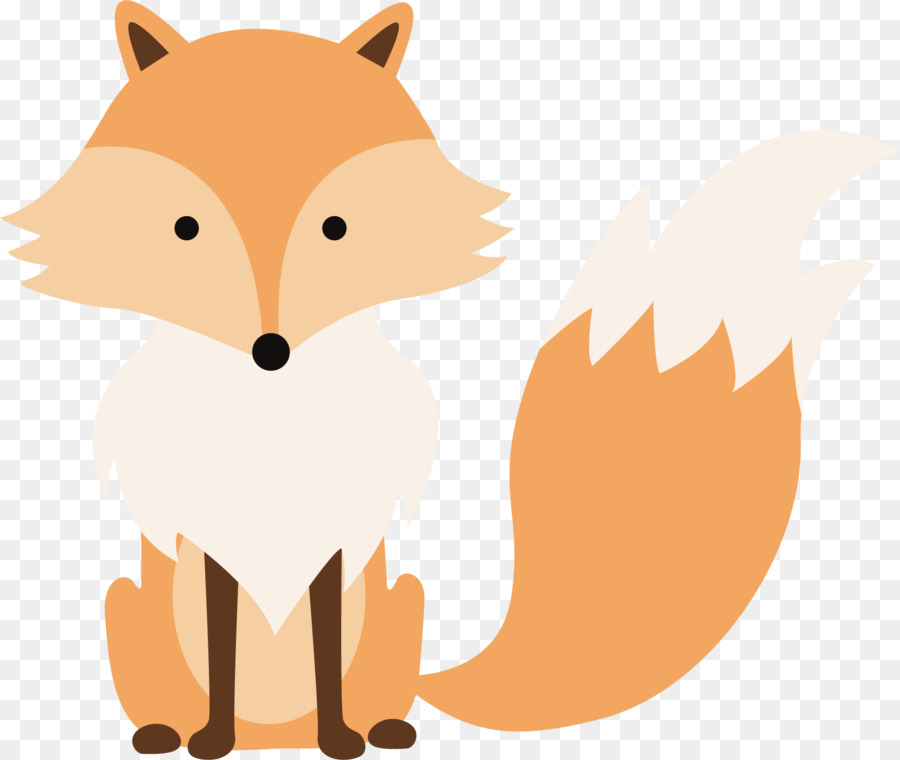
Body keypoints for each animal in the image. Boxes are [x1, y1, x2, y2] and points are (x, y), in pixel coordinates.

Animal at [3, 1, 893, 758]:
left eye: (338, 227)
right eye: (184, 228)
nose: (270, 350)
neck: (275, 429)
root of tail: (274, 734)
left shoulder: (337, 549)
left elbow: (326, 654)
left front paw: (341, 740)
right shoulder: (212, 550)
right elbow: (219, 659)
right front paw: (211, 740)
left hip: (403, 599)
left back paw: (380, 729)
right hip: (129, 604)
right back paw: (170, 732)